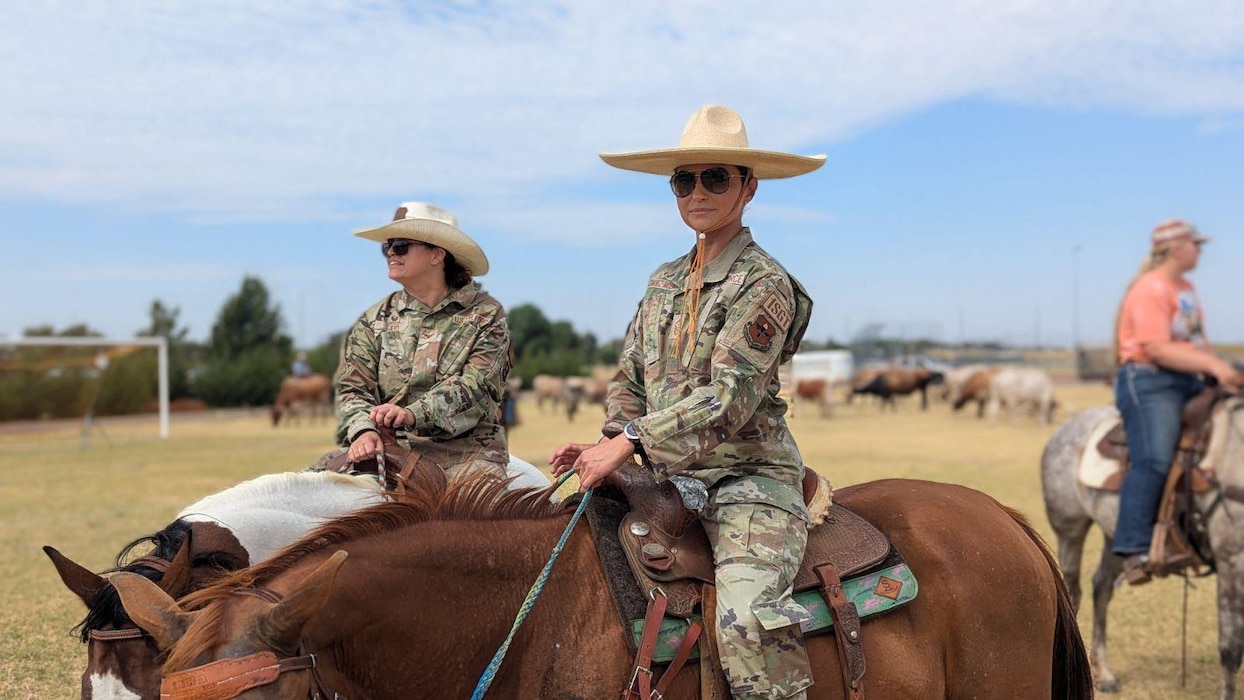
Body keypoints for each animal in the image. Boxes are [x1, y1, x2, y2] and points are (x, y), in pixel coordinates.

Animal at [1039, 400, 1244, 700]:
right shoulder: (1232, 558)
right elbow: (1231, 648)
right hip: (1070, 529)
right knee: (1071, 592)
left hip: (1115, 534)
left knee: (1102, 587)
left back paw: (1105, 673)